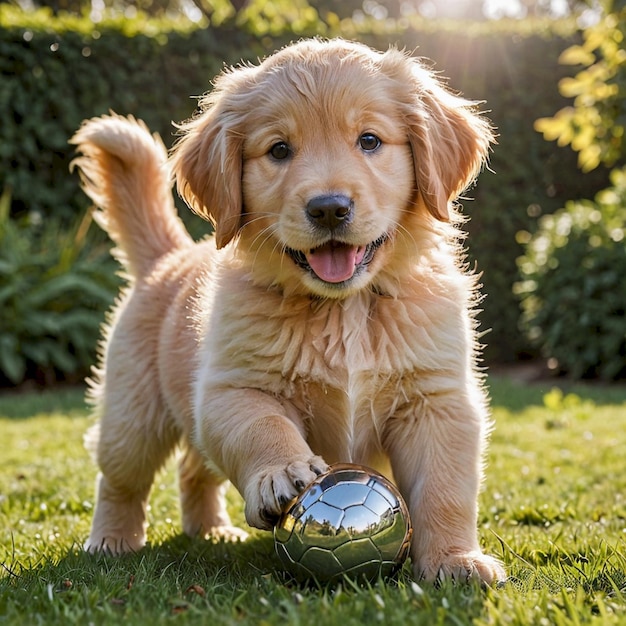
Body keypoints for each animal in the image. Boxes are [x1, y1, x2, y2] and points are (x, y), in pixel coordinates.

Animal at [70, 36, 504, 580]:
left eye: (369, 141)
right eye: (279, 150)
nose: (329, 208)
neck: (343, 307)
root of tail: (166, 256)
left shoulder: (436, 400)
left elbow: (445, 488)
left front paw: (455, 560)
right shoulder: (233, 387)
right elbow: (263, 427)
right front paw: (282, 471)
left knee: (194, 469)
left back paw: (211, 530)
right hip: (133, 412)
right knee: (121, 477)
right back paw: (112, 540)